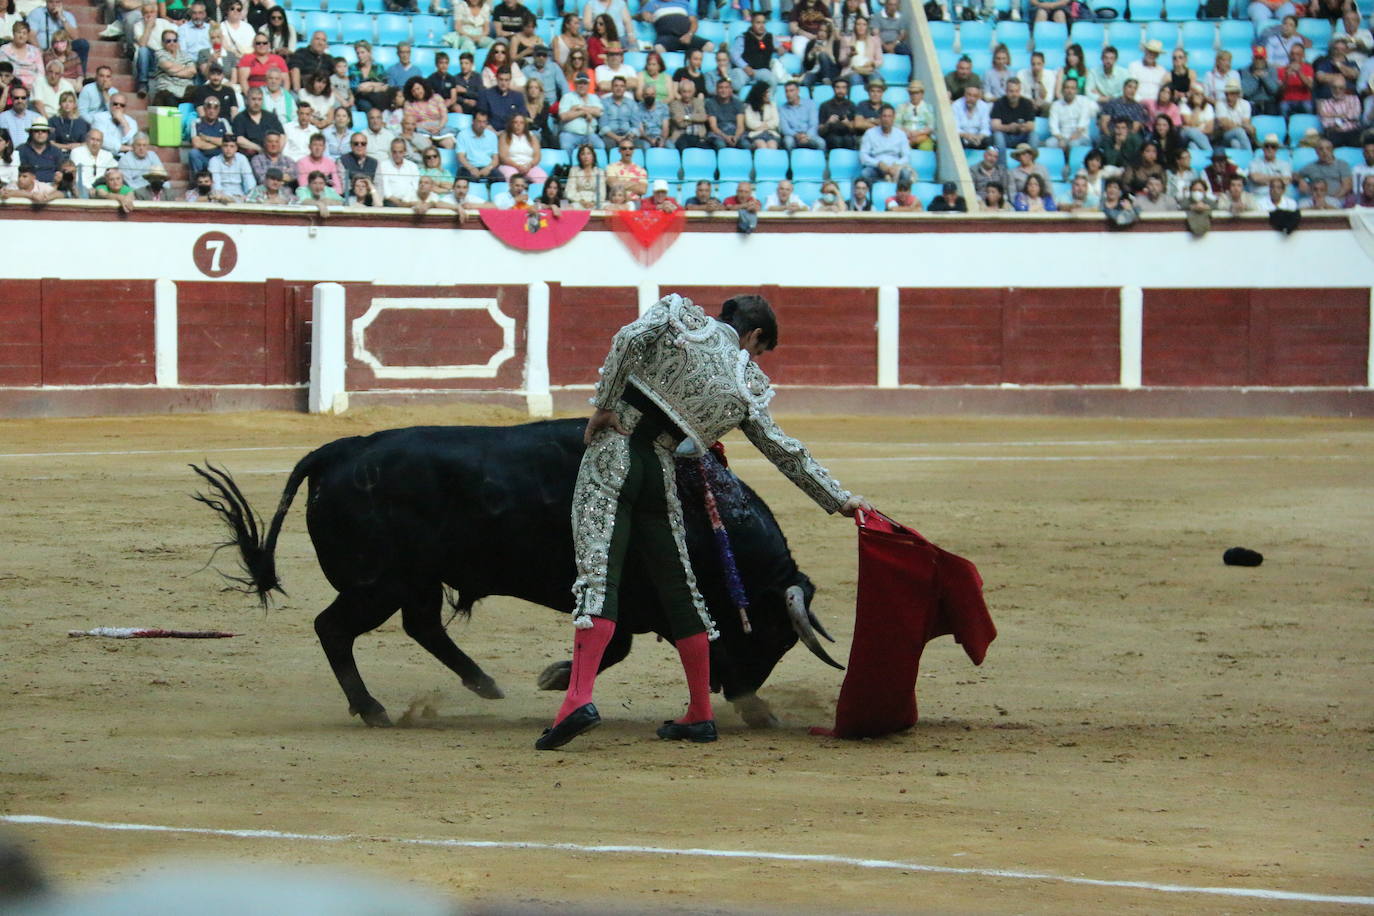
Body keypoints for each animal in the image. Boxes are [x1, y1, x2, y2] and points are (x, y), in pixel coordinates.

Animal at [188, 420, 840, 725]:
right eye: (770, 634)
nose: (747, 696)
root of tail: (339, 450)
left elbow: (620, 643)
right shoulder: (627, 593)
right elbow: (619, 643)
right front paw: (557, 678)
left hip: (414, 580)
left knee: (421, 626)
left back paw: (484, 684)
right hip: (378, 583)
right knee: (334, 629)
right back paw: (373, 709)